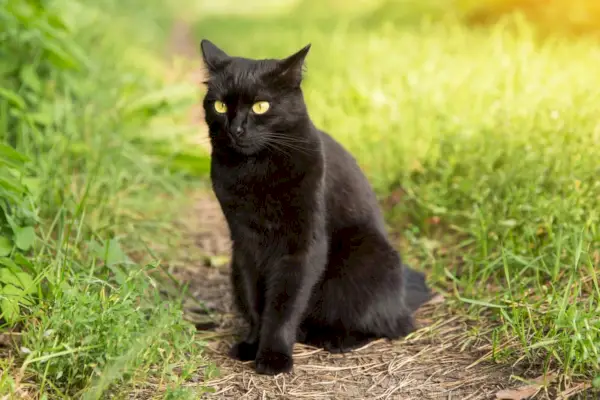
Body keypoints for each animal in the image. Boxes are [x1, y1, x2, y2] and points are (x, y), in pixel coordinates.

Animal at [200, 40, 432, 376]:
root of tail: (403, 297)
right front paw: (252, 344)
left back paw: (333, 338)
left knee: (389, 324)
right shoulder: (244, 245)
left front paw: (274, 357)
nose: (236, 129)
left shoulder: (302, 246)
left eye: (260, 106)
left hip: (367, 257)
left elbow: (283, 306)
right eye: (219, 106)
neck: (255, 170)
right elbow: (256, 301)